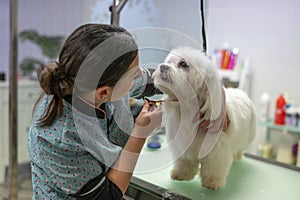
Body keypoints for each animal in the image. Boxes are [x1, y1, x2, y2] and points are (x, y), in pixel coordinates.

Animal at [152, 46, 255, 190]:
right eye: (169, 61)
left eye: (183, 64)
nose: (162, 66)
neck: (188, 111)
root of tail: (241, 92)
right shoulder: (183, 146)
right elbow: (184, 162)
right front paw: (182, 174)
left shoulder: (217, 152)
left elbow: (214, 167)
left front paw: (212, 181)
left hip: (246, 138)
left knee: (239, 149)